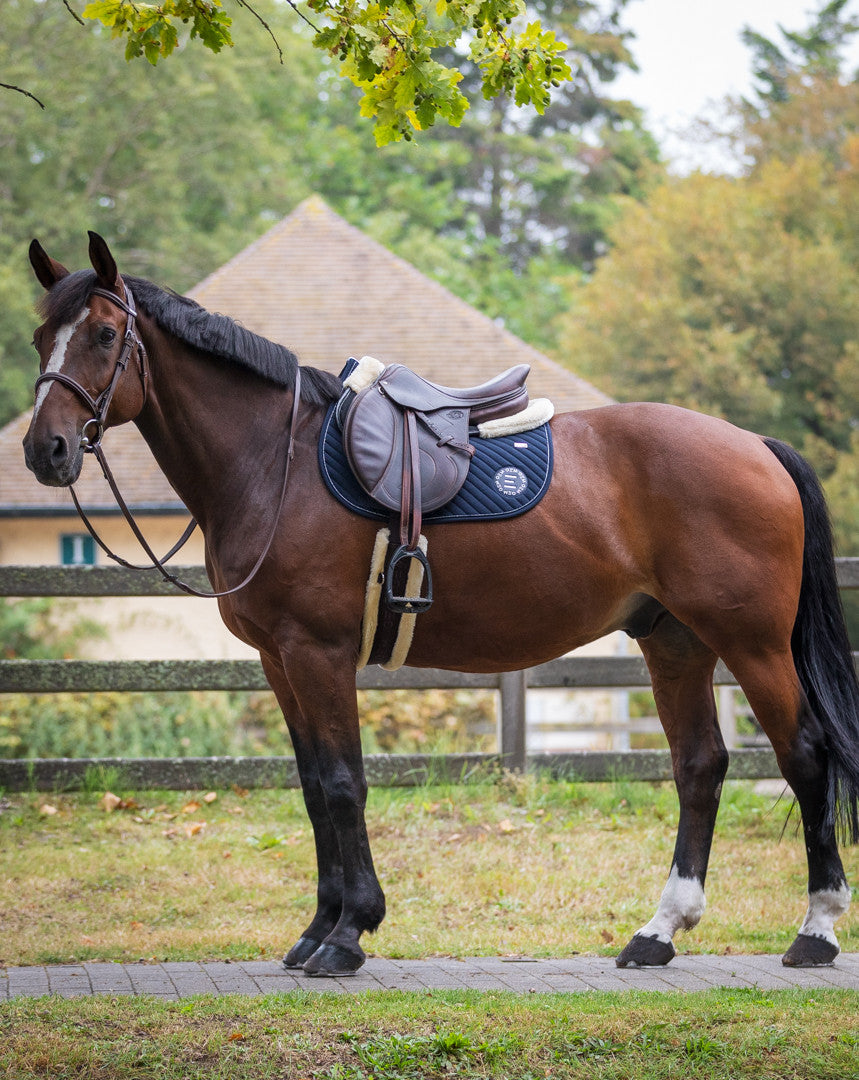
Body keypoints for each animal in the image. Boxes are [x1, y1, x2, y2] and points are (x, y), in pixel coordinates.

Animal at [23, 232, 855, 976]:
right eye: (39, 338)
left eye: (103, 334)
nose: (45, 450)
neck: (273, 463)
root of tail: (752, 443)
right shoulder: (278, 662)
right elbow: (312, 789)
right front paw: (316, 929)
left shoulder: (318, 655)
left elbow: (342, 785)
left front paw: (348, 933)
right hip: (674, 642)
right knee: (699, 767)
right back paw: (658, 932)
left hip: (751, 646)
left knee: (805, 755)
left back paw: (814, 931)